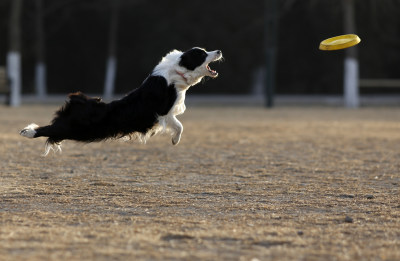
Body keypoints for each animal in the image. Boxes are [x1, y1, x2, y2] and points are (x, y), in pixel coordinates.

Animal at [21, 47, 222, 154]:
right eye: (202, 54)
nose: (219, 51)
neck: (176, 72)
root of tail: (77, 103)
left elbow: (179, 125)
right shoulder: (164, 112)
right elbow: (179, 126)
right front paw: (175, 140)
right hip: (74, 128)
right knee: (48, 129)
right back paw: (26, 132)